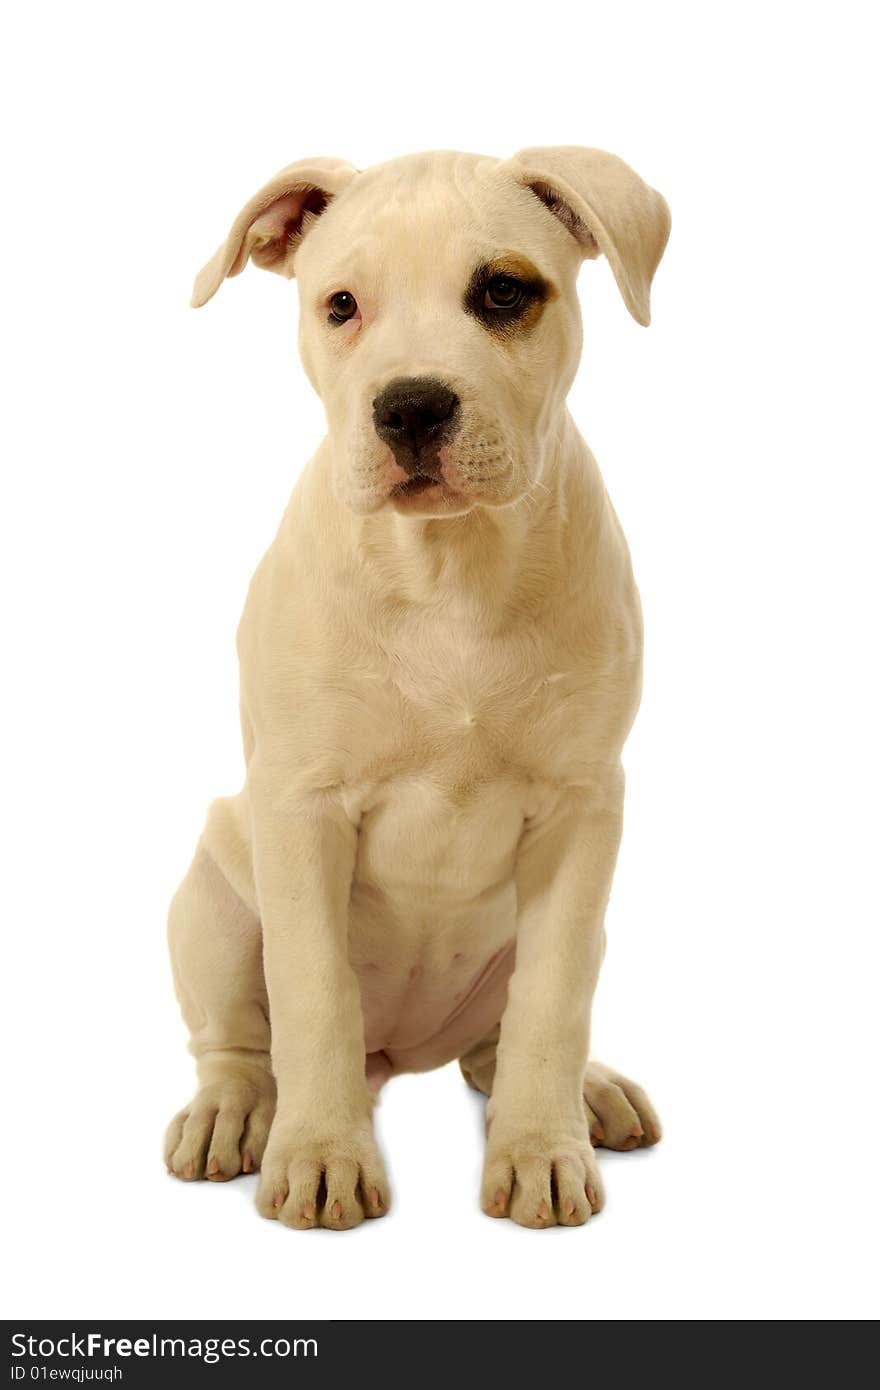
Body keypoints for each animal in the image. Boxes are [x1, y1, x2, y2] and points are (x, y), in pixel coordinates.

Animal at [164, 146, 670, 1228]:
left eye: (504, 291)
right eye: (341, 305)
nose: (410, 406)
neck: (450, 568)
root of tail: (401, 1053)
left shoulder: (582, 811)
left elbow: (553, 1001)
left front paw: (540, 1151)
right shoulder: (301, 807)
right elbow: (313, 991)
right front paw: (319, 1156)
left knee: (504, 1034)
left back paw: (585, 1093)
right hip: (215, 897)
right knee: (242, 1040)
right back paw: (239, 1113)